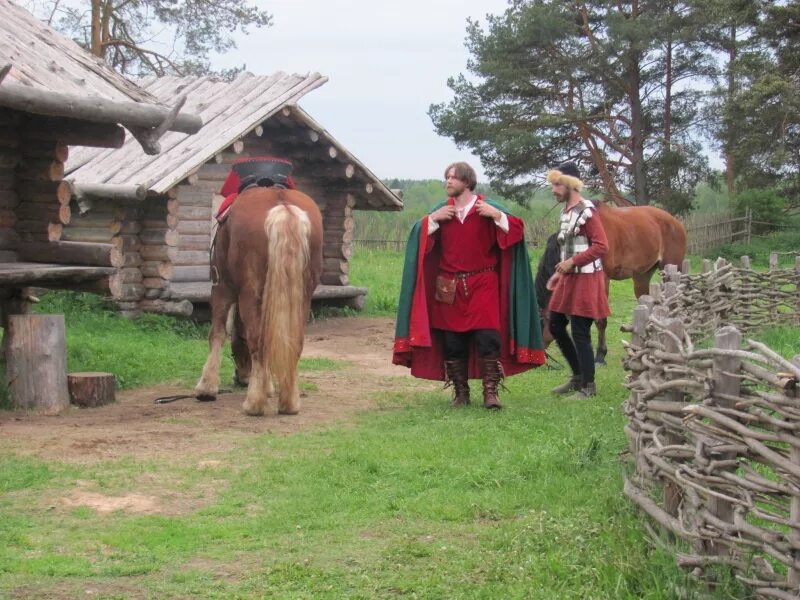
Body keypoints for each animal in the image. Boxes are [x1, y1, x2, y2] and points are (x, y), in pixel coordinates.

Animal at [196, 188, 322, 418]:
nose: (240, 377)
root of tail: (282, 205)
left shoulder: (222, 287)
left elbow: (217, 333)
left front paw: (207, 386)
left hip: (248, 294)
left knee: (257, 341)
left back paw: (254, 402)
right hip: (303, 297)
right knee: (294, 342)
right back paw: (289, 402)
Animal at [536, 202, 684, 364]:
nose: (539, 355)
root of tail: (675, 222)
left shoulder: (603, 279)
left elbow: (600, 320)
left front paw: (600, 355)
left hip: (672, 267)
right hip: (642, 276)